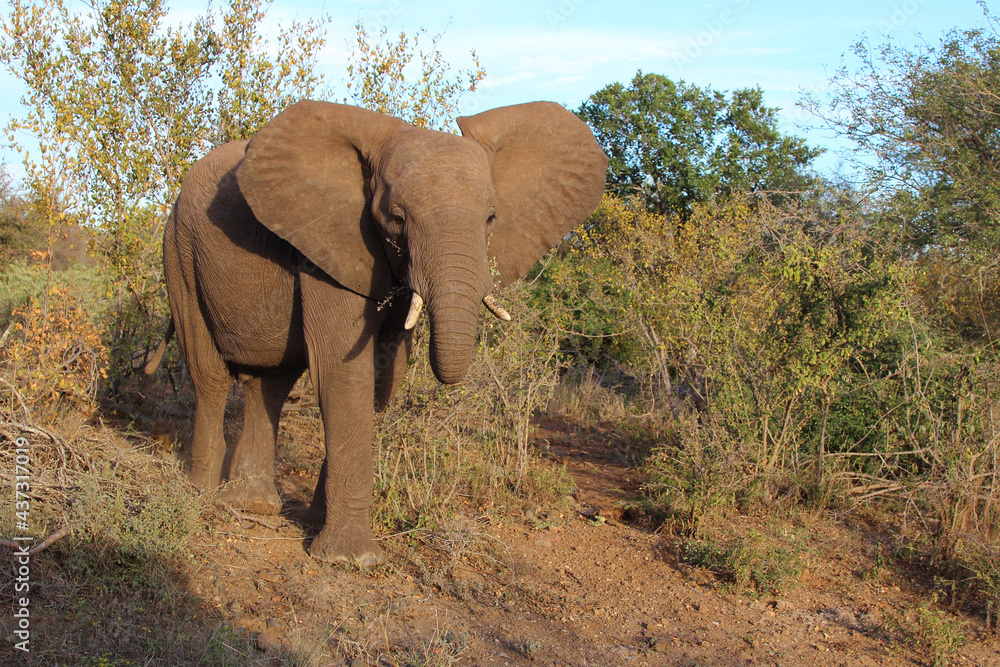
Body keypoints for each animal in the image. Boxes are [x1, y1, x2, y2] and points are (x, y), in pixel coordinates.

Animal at [146, 100, 607, 565]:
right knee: (209, 373)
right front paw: (350, 560)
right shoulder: (331, 242)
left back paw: (250, 504)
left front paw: (316, 525)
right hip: (179, 250)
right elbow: (344, 372)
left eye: (492, 218)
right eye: (397, 219)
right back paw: (201, 494)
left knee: (271, 383)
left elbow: (385, 373)